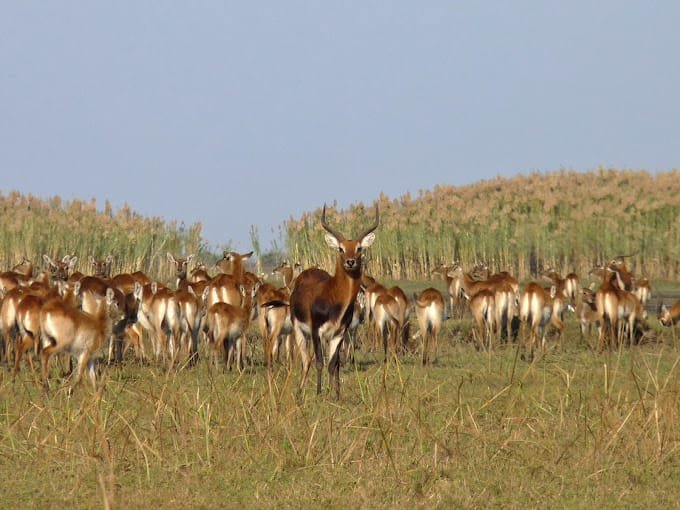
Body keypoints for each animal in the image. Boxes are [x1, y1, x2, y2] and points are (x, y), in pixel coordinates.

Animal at [290, 203, 380, 398]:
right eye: (340, 248)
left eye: (359, 248)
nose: (350, 262)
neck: (334, 299)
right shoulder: (316, 331)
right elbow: (319, 362)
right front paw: (319, 394)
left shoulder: (339, 333)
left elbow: (333, 364)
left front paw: (335, 395)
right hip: (300, 331)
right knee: (306, 361)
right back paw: (299, 392)